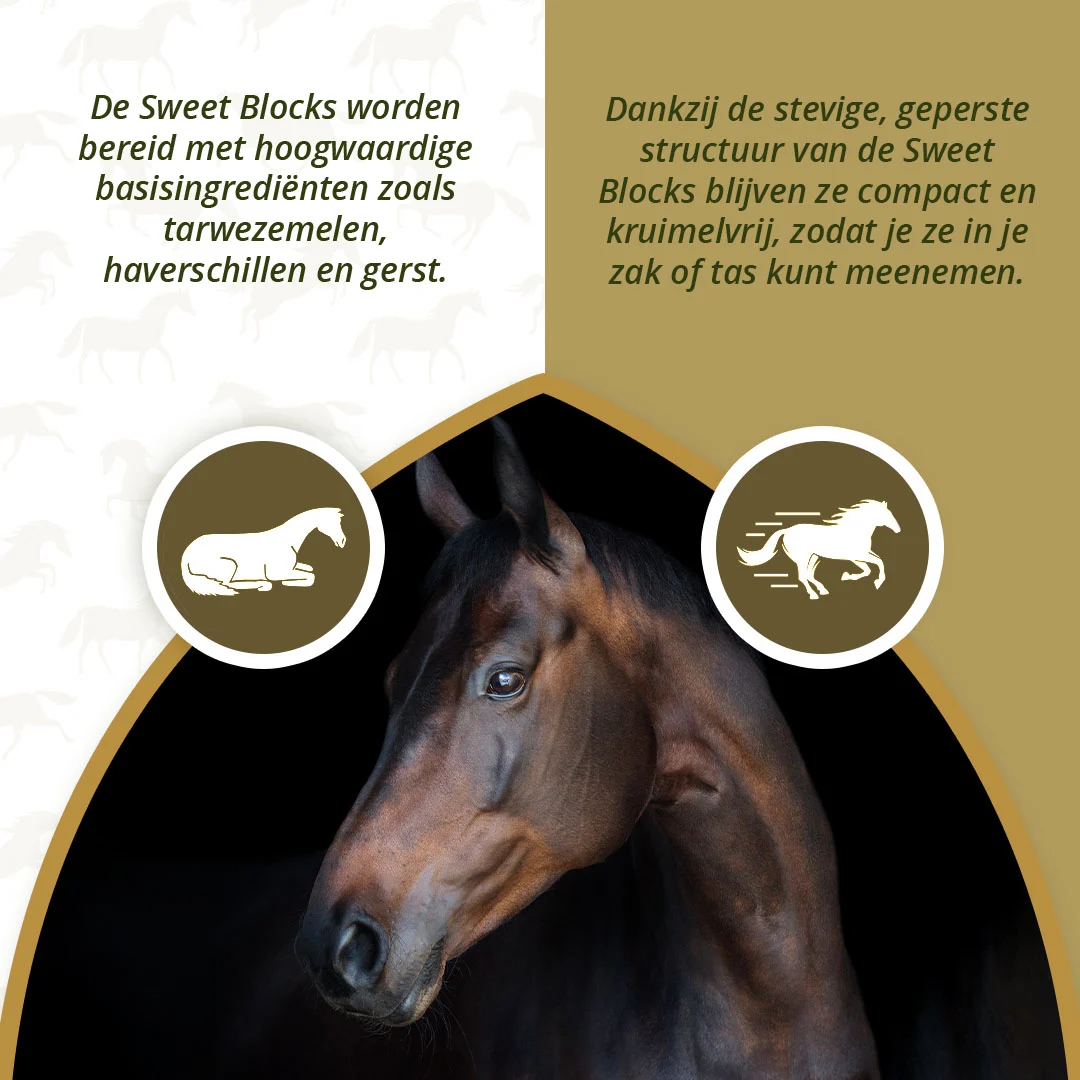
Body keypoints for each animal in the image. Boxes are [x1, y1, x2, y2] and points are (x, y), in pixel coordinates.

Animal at [181, 508, 346, 597]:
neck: (287, 539)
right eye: (333, 522)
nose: (343, 541)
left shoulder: (292, 567)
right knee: (228, 584)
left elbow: (309, 570)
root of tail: (186, 555)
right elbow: (311, 576)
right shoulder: (278, 573)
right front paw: (288, 582)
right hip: (229, 565)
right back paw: (262, 584)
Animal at [738, 500, 901, 600]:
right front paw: (878, 582)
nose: (898, 530)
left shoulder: (856, 557)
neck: (855, 530)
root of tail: (787, 530)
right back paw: (814, 595)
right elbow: (878, 563)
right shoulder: (857, 555)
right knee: (803, 576)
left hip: (813, 556)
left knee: (809, 575)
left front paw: (847, 576)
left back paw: (823, 590)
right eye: (886, 514)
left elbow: (870, 567)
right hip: (802, 558)